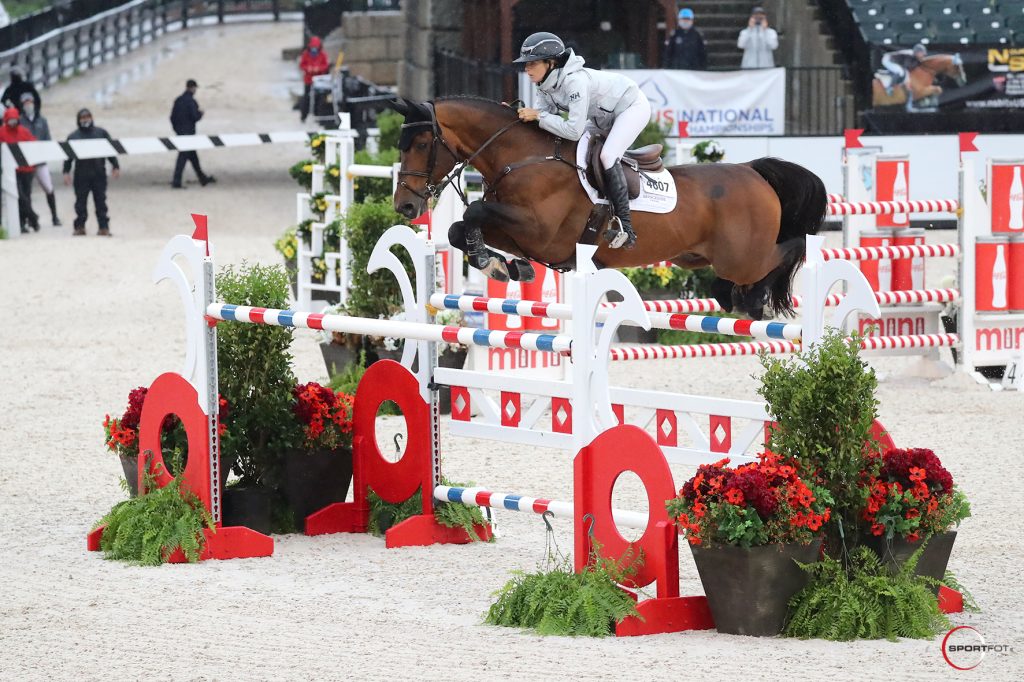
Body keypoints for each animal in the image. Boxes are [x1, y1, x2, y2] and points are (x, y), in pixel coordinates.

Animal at [390, 96, 827, 320]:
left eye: (423, 144)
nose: (406, 205)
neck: (524, 157)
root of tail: (753, 172)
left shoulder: (540, 232)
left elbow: (473, 214)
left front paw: (495, 264)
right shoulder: (519, 231)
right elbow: (457, 229)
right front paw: (505, 266)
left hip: (742, 257)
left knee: (788, 251)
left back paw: (758, 299)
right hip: (696, 257)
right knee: (727, 280)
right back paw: (737, 299)